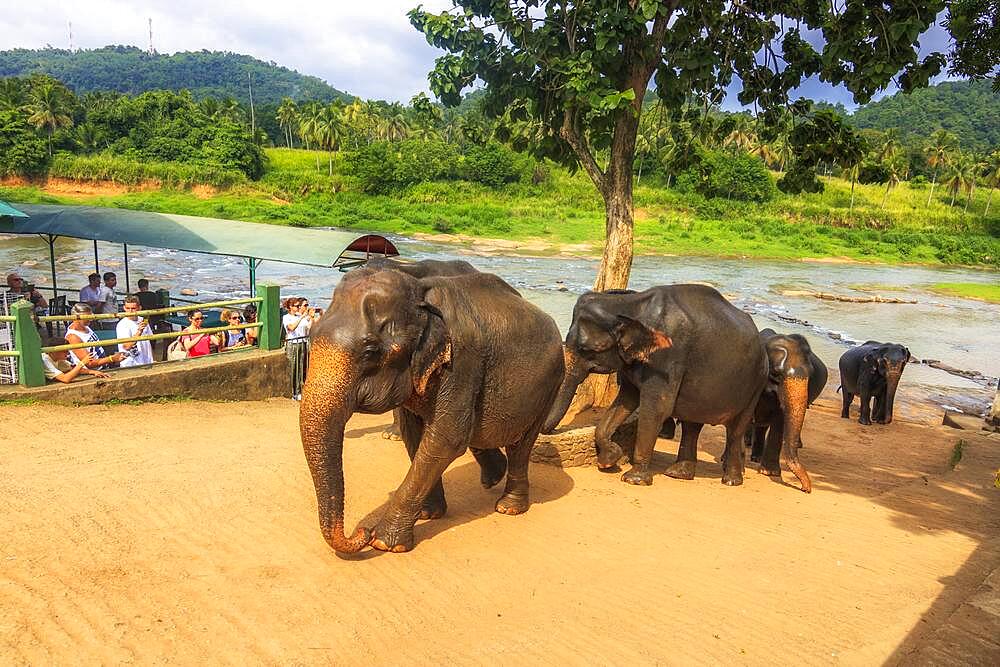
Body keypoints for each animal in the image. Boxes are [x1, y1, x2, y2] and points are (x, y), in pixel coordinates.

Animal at [296, 260, 568, 552]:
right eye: (312, 336)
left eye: (370, 352)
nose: (361, 533)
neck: (418, 288)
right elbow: (415, 434)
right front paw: (429, 514)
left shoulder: (463, 360)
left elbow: (446, 439)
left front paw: (385, 543)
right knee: (479, 432)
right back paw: (493, 477)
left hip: (549, 384)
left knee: (521, 444)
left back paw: (508, 507)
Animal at [544, 284, 768, 488]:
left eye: (588, 349)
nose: (551, 432)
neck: (632, 304)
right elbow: (626, 401)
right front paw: (609, 460)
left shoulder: (667, 358)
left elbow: (657, 408)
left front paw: (633, 479)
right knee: (692, 424)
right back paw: (678, 474)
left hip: (756, 383)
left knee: (736, 429)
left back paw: (730, 481)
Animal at [748, 330, 832, 494]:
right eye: (775, 374)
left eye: (810, 375)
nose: (805, 489)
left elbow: (780, 421)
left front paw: (770, 472)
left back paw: (756, 458)